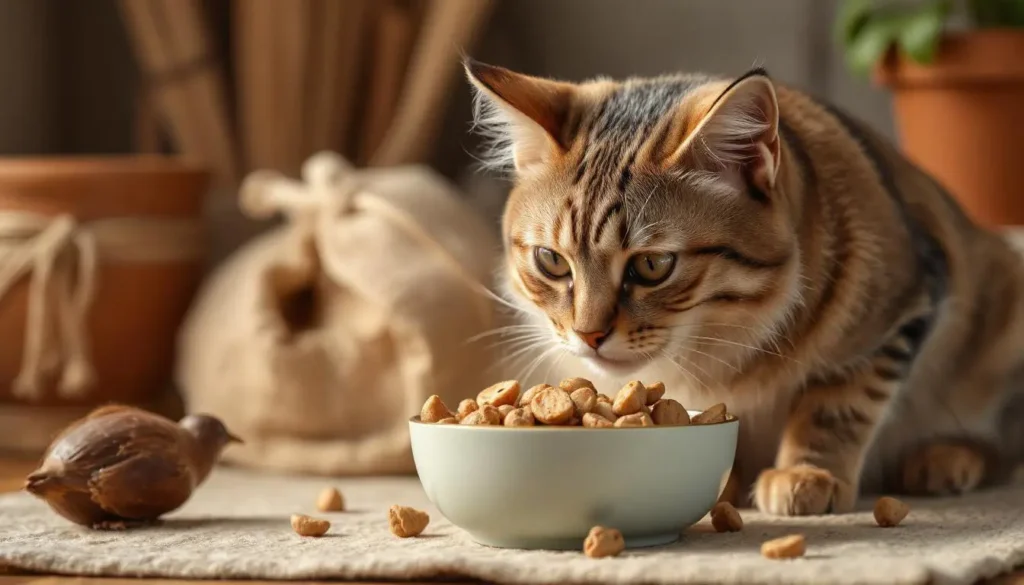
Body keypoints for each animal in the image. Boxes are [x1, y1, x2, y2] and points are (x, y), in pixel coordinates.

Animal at [464, 58, 1024, 516]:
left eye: (653, 265)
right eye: (551, 261)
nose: (589, 336)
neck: (720, 343)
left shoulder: (906, 306)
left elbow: (840, 401)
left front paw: (806, 473)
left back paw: (945, 458)